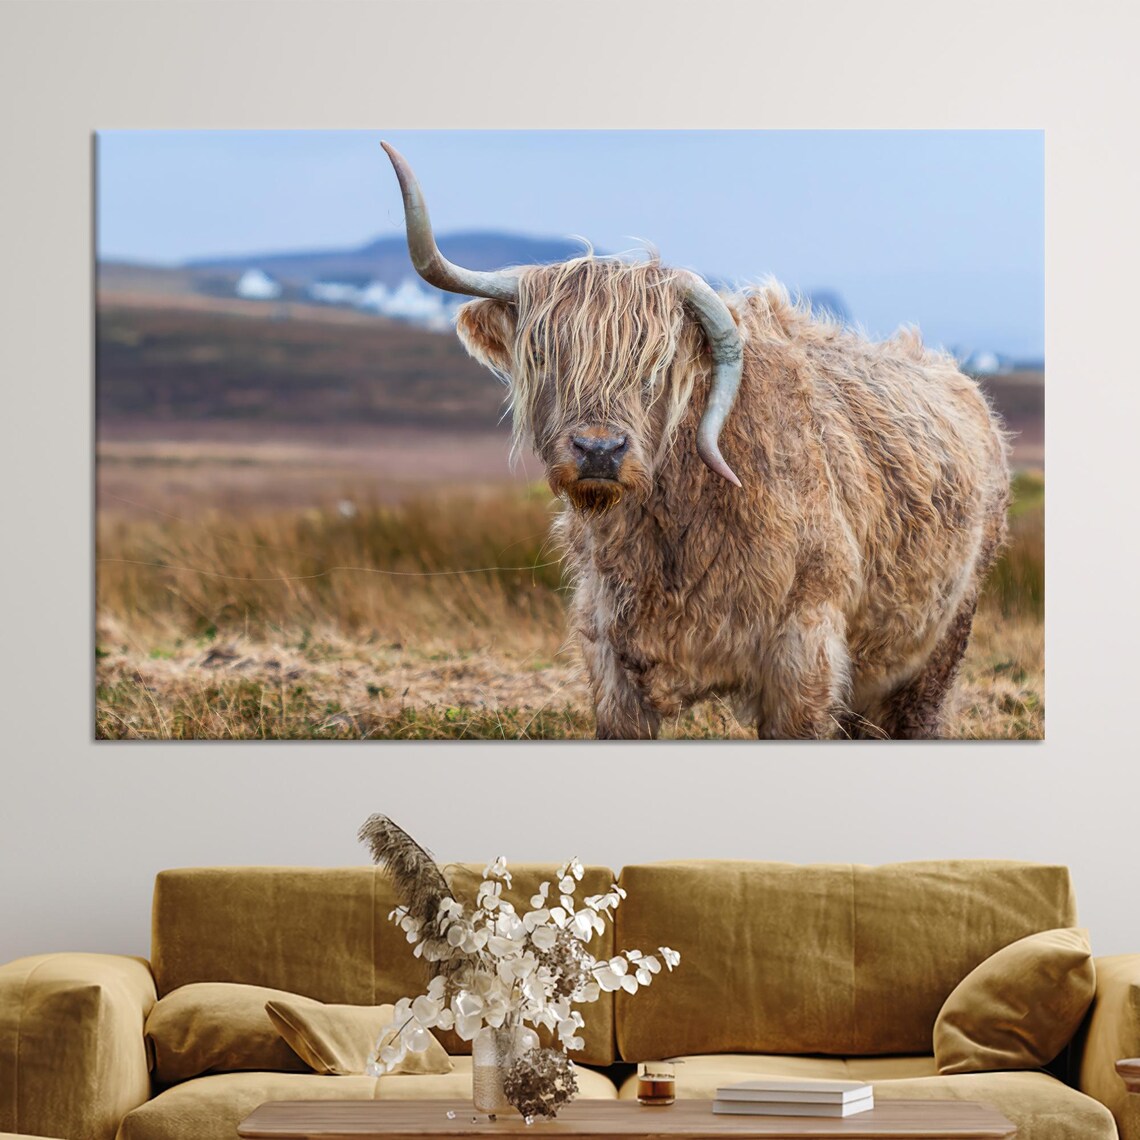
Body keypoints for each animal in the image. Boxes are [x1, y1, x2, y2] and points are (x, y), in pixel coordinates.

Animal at [380, 142, 1011, 739]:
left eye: (657, 363)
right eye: (543, 352)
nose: (599, 451)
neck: (674, 530)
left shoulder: (804, 649)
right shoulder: (610, 654)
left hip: (945, 636)